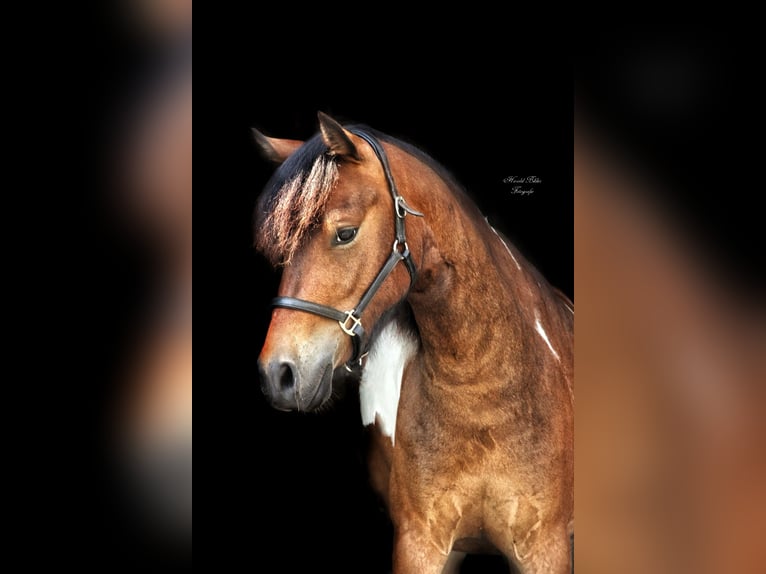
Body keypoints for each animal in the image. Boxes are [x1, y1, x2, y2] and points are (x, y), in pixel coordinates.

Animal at [255, 112, 572, 574]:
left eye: (345, 233)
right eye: (284, 246)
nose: (278, 373)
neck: (482, 391)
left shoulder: (545, 548)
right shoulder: (420, 545)